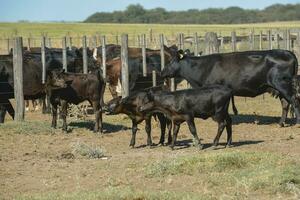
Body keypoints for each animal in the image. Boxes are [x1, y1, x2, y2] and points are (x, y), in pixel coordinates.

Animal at [162, 49, 300, 126]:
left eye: (170, 61)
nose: (162, 72)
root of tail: (288, 52)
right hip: (280, 88)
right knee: (285, 104)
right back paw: (281, 123)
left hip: (284, 85)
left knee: (294, 101)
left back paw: (297, 122)